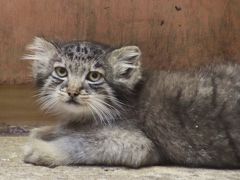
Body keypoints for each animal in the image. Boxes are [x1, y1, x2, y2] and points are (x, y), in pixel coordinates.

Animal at [23, 37, 240, 168]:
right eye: (61, 72)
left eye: (94, 76)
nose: (72, 91)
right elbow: (69, 129)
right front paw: (46, 131)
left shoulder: (139, 145)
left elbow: (79, 142)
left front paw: (41, 149)